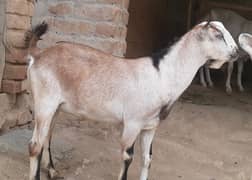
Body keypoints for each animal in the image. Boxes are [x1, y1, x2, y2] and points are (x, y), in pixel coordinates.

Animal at [26, 21, 239, 180]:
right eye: (218, 34)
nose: (236, 52)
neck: (161, 75)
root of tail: (38, 55)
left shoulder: (150, 126)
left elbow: (147, 159)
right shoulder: (132, 123)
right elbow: (128, 157)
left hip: (56, 106)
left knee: (46, 137)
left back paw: (52, 171)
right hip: (44, 102)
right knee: (35, 145)